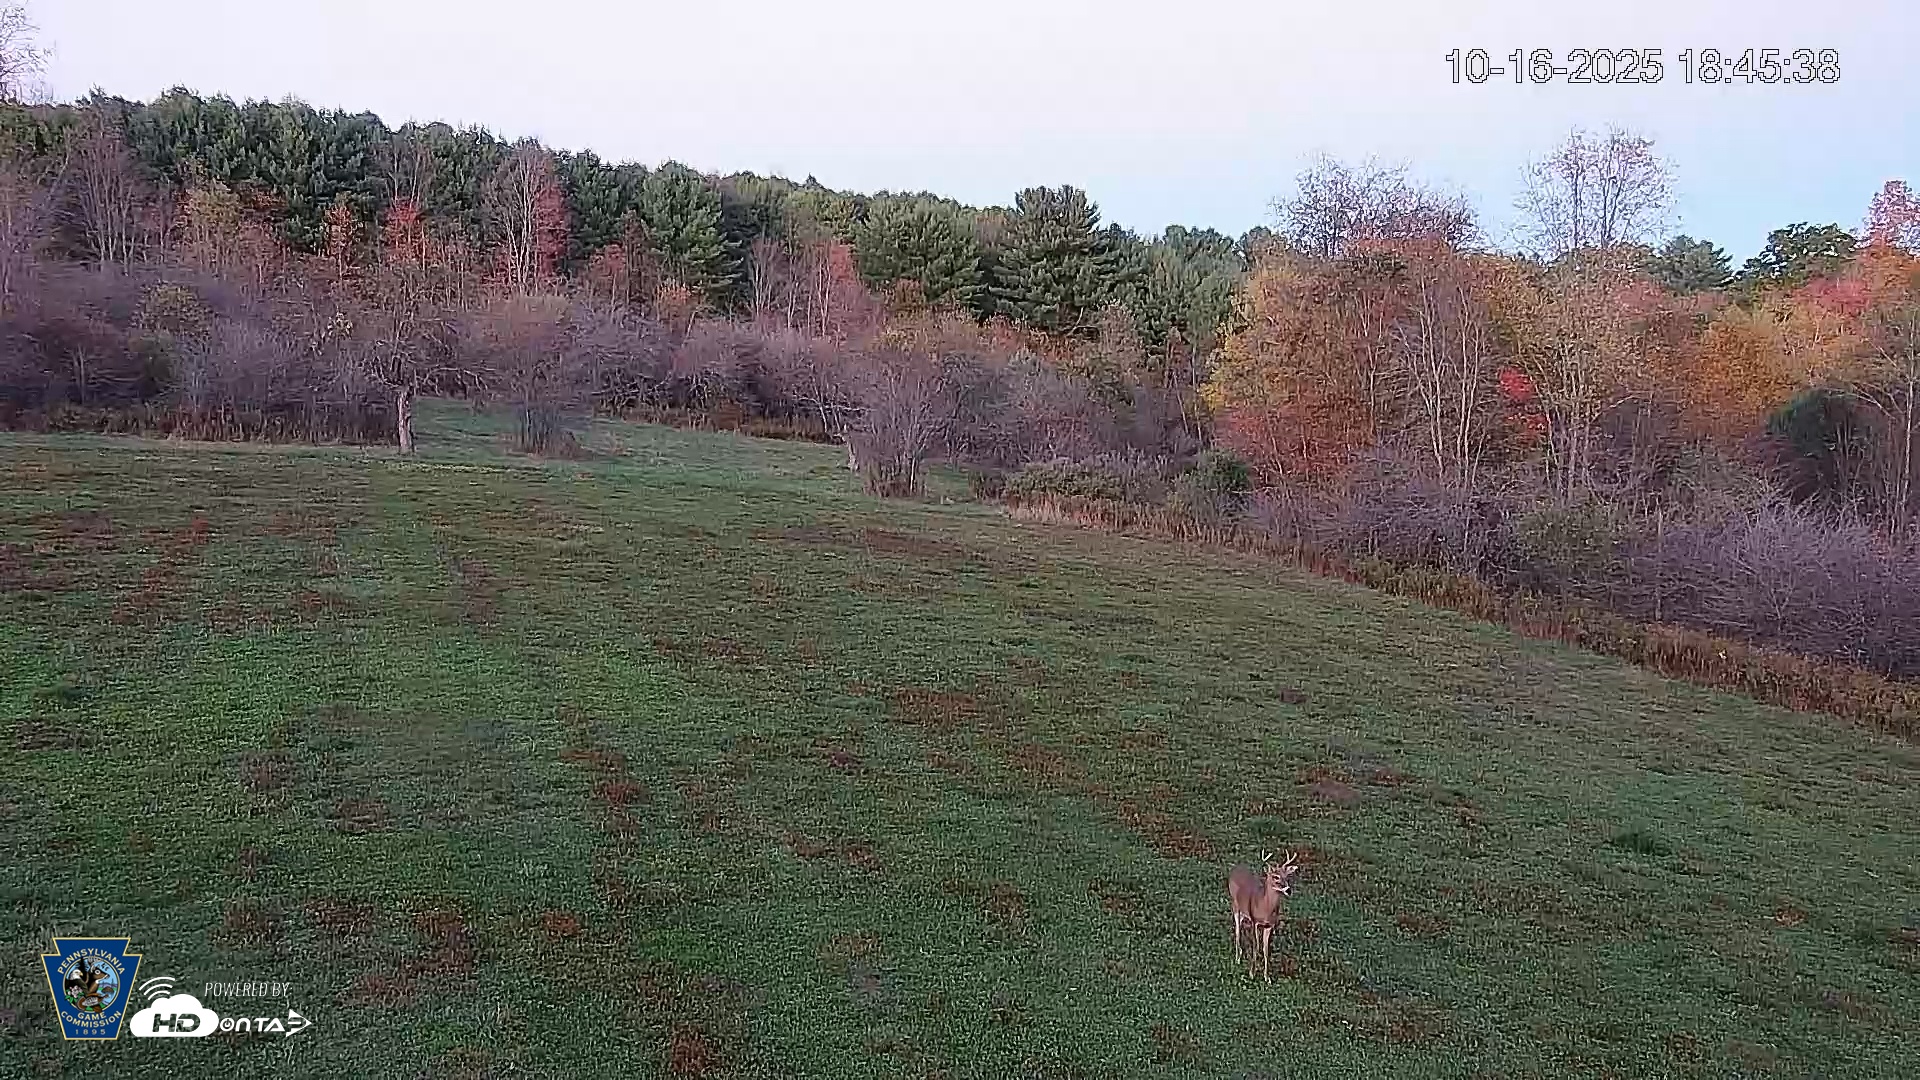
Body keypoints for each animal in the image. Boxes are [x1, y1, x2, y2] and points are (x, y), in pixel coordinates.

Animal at [1228, 852, 1302, 982]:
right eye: (1275, 877)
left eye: (1287, 876)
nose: (1288, 890)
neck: (1265, 907)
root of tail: (1236, 868)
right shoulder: (1255, 921)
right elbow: (1256, 946)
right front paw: (1252, 973)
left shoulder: (1269, 926)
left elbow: (1266, 950)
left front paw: (1267, 977)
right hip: (1235, 905)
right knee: (1237, 931)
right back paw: (1237, 959)